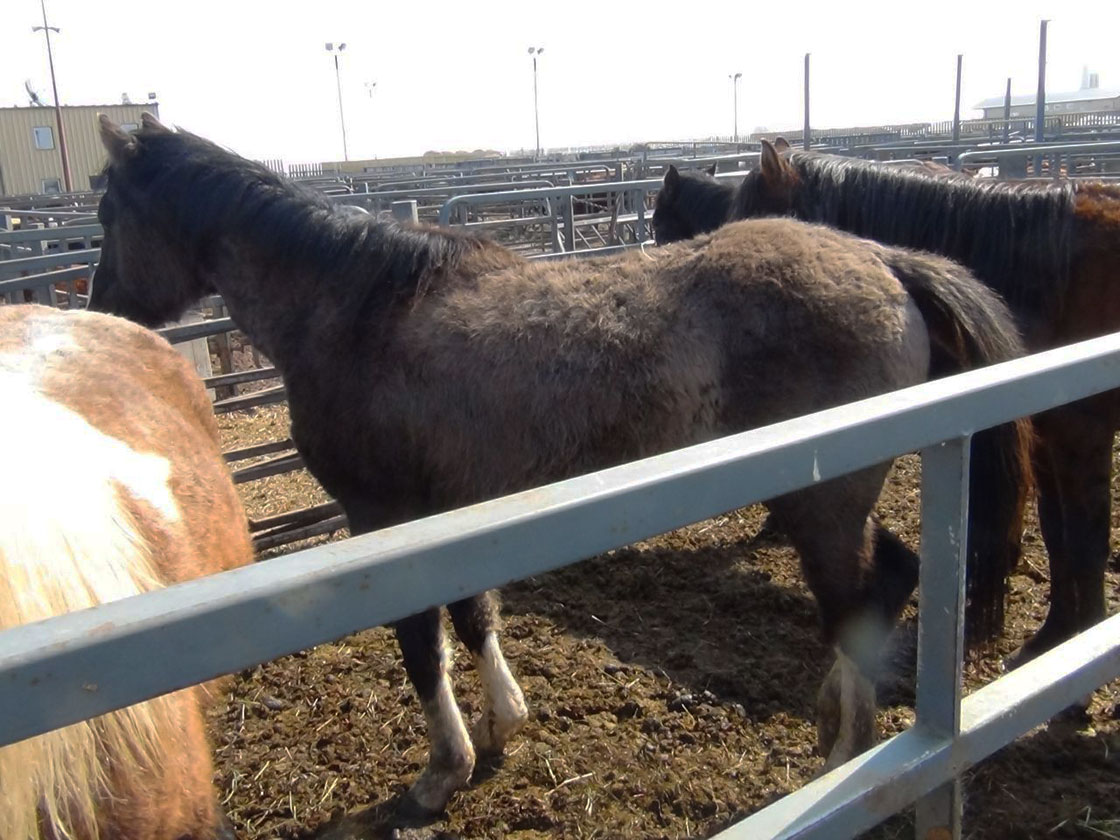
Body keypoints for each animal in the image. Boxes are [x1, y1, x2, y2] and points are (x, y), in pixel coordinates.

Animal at [88, 114, 1030, 808]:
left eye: (106, 216)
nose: (104, 312)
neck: (356, 308)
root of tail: (885, 261)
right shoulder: (450, 511)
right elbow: (473, 616)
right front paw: (503, 720)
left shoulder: (382, 517)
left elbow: (421, 643)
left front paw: (444, 768)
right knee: (888, 577)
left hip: (824, 503)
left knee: (857, 597)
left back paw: (846, 756)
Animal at [653, 138, 1120, 667]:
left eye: (660, 225)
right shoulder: (1045, 436)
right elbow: (1059, 537)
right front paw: (1053, 639)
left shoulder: (1081, 434)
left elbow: (1085, 540)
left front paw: (1078, 645)